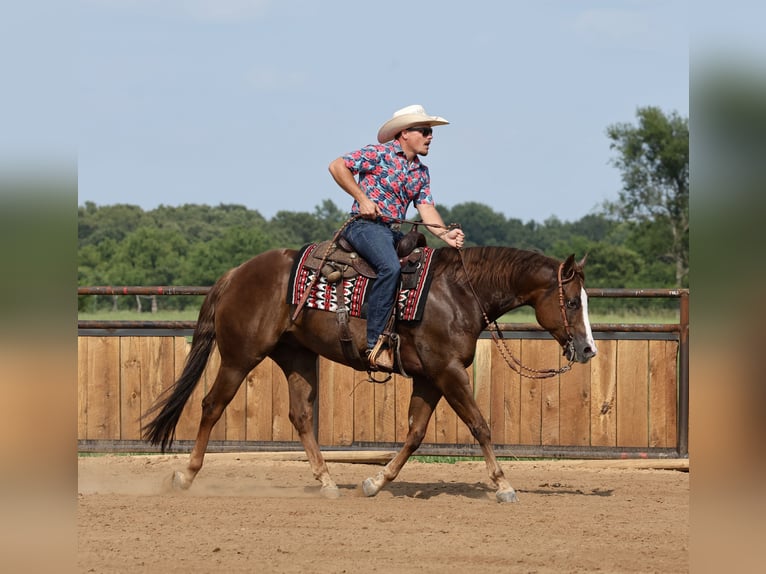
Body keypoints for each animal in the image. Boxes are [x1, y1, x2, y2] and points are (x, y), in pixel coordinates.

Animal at [142, 244, 597, 503]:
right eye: (573, 302)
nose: (588, 349)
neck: (458, 292)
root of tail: (236, 274)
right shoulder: (448, 372)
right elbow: (480, 425)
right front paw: (503, 486)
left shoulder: (430, 377)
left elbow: (415, 434)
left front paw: (376, 482)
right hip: (240, 357)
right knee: (211, 404)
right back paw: (185, 476)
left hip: (297, 357)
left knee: (301, 416)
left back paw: (327, 482)